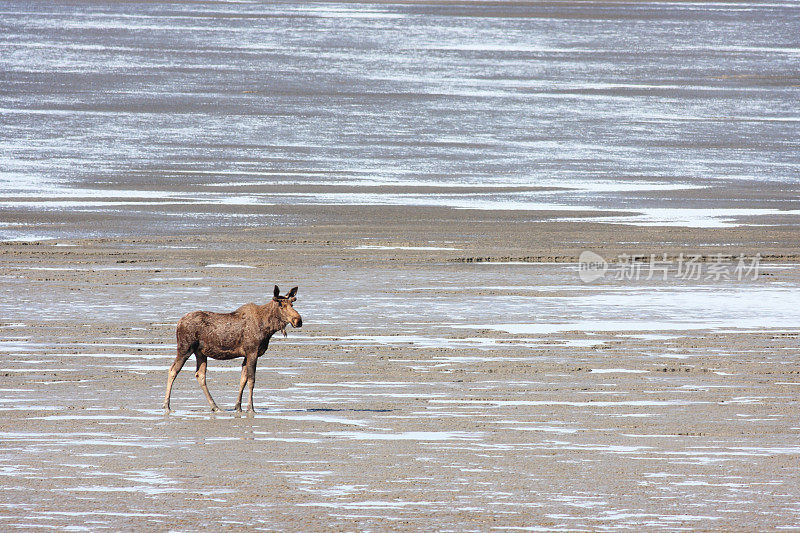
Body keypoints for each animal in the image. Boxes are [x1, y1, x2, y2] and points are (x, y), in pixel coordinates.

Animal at [162, 284, 304, 414]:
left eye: (292, 303)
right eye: (281, 305)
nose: (298, 320)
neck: (267, 328)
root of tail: (178, 323)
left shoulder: (247, 355)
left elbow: (243, 379)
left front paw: (238, 407)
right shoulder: (252, 352)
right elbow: (251, 380)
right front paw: (251, 408)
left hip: (200, 353)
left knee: (200, 374)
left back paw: (215, 407)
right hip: (185, 348)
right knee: (173, 370)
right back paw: (166, 406)